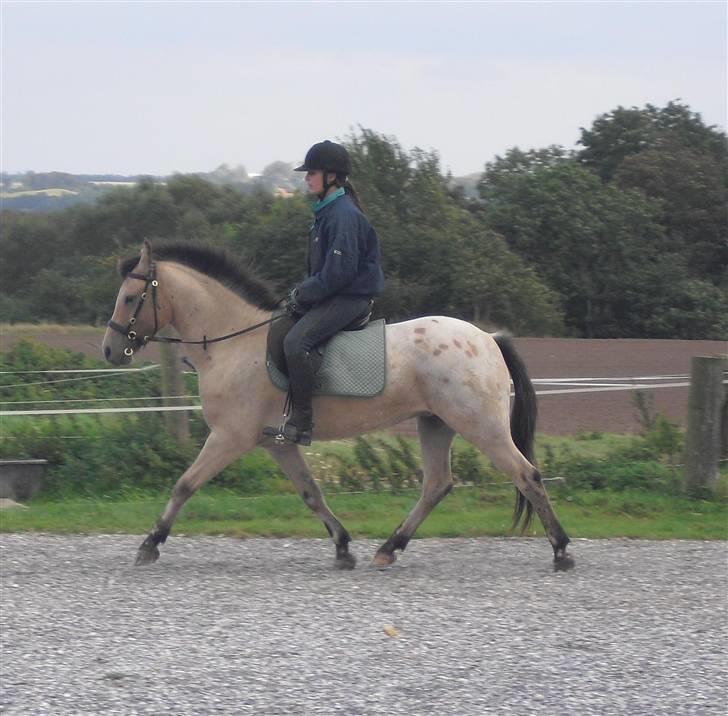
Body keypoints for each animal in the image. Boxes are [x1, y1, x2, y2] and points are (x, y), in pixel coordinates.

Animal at [101, 241, 576, 572]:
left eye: (130, 298)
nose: (109, 351)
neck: (232, 344)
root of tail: (488, 338)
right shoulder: (276, 442)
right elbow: (311, 492)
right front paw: (343, 546)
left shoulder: (230, 437)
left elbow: (184, 485)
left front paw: (150, 543)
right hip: (435, 424)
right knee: (437, 485)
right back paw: (388, 549)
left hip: (481, 426)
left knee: (527, 475)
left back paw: (561, 551)